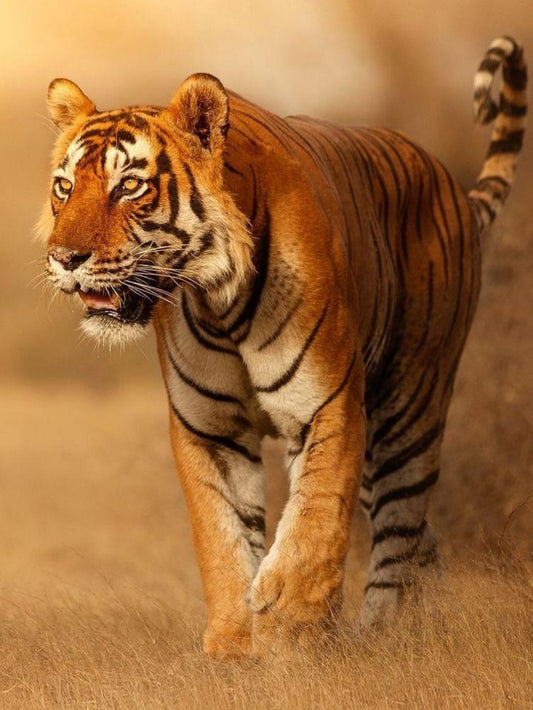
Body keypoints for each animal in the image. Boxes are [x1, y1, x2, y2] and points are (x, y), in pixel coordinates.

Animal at [39, 36, 527, 656]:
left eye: (129, 185)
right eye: (64, 186)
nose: (64, 258)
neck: (217, 301)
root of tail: (452, 186)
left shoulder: (328, 405)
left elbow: (314, 521)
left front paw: (291, 631)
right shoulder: (210, 428)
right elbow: (221, 537)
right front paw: (233, 645)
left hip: (409, 409)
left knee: (399, 531)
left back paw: (384, 636)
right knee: (422, 538)